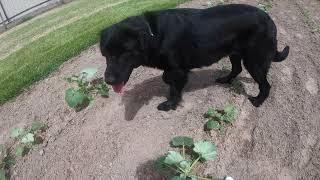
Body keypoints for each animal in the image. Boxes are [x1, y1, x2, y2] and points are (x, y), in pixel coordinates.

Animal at [100, 3, 290, 111]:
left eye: (124, 52)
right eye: (105, 54)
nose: (108, 81)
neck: (154, 32)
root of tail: (268, 17)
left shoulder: (176, 68)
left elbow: (174, 88)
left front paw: (170, 105)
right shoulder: (174, 68)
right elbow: (167, 78)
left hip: (254, 60)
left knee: (265, 85)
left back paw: (258, 101)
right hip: (234, 53)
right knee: (236, 69)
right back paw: (225, 79)